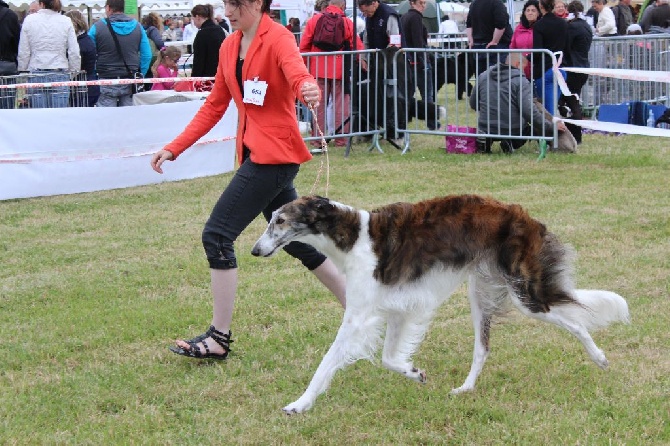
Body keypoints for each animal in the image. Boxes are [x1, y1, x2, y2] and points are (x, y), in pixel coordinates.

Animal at [251, 196, 632, 414]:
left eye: (279, 221)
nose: (254, 250)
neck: (353, 236)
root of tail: (525, 217)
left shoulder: (359, 316)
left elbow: (327, 362)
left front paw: (299, 404)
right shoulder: (397, 308)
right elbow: (389, 358)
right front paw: (414, 372)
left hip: (525, 294)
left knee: (575, 321)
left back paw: (599, 358)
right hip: (481, 291)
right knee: (483, 348)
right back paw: (465, 388)